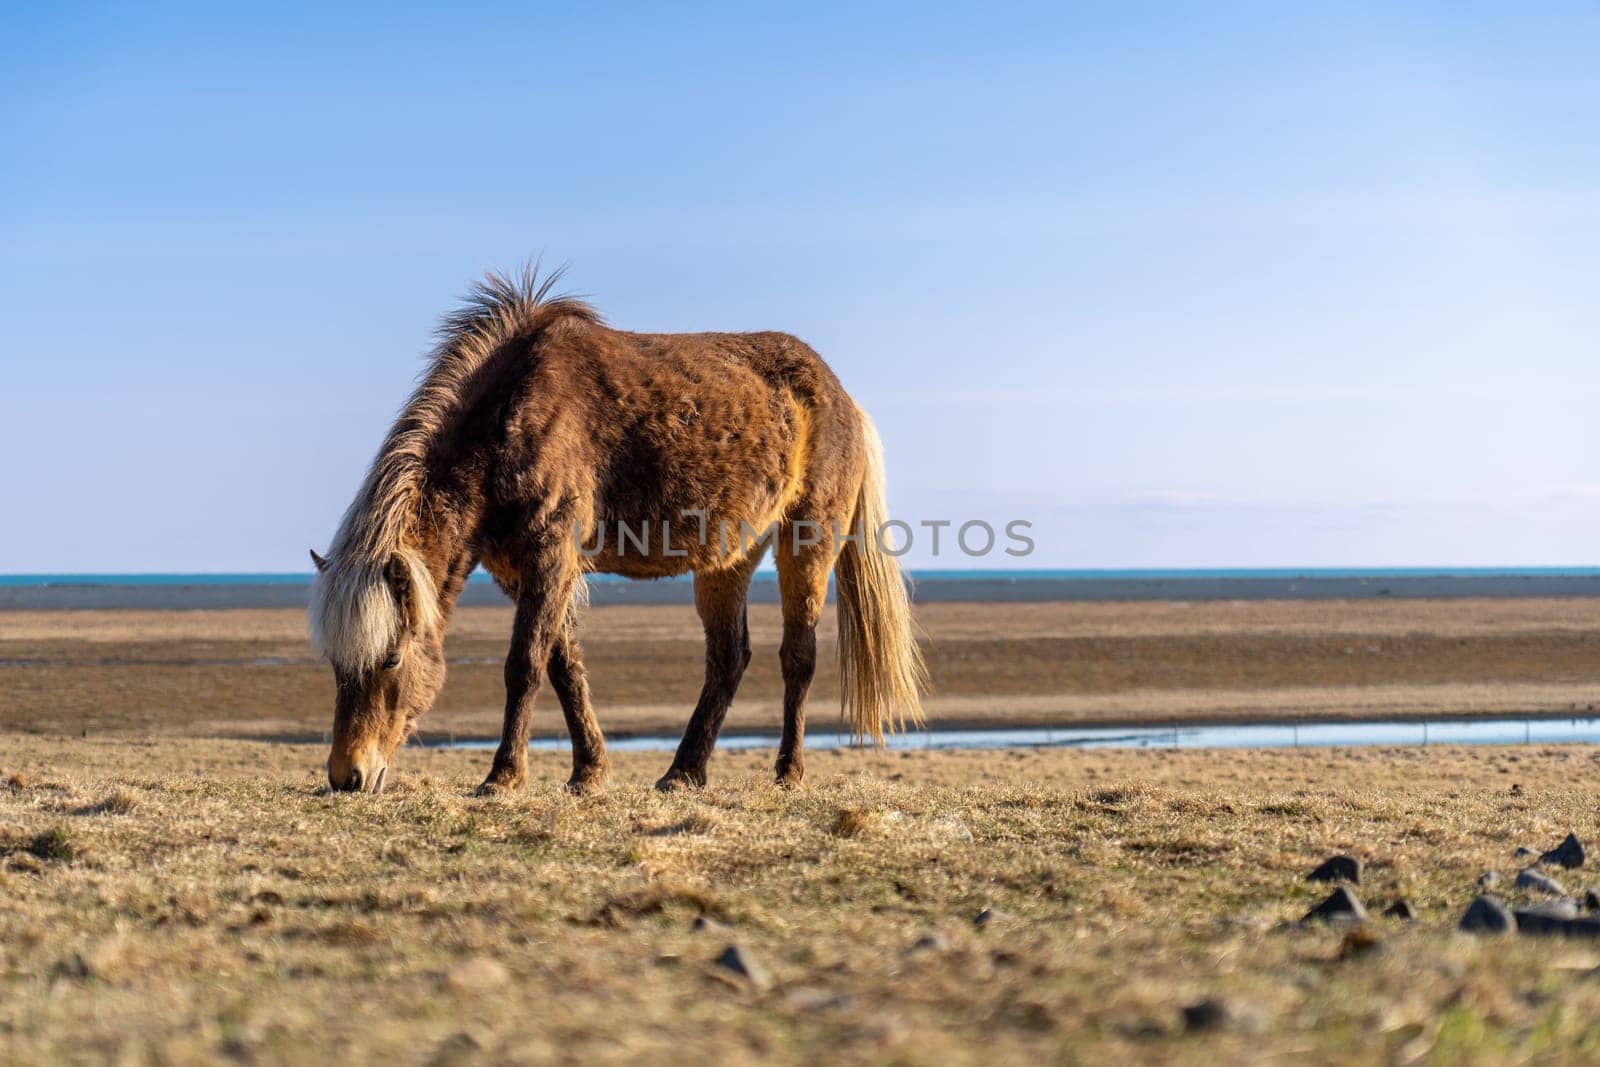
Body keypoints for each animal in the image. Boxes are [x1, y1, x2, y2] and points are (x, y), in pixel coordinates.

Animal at [307, 268, 928, 793]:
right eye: (334, 664)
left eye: (390, 660)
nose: (347, 776)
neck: (511, 415)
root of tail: (845, 399)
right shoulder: (522, 569)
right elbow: (564, 666)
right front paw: (588, 772)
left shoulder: (550, 555)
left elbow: (524, 665)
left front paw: (503, 777)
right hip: (729, 560)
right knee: (728, 659)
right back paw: (683, 773)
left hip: (807, 542)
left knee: (797, 655)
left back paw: (787, 772)